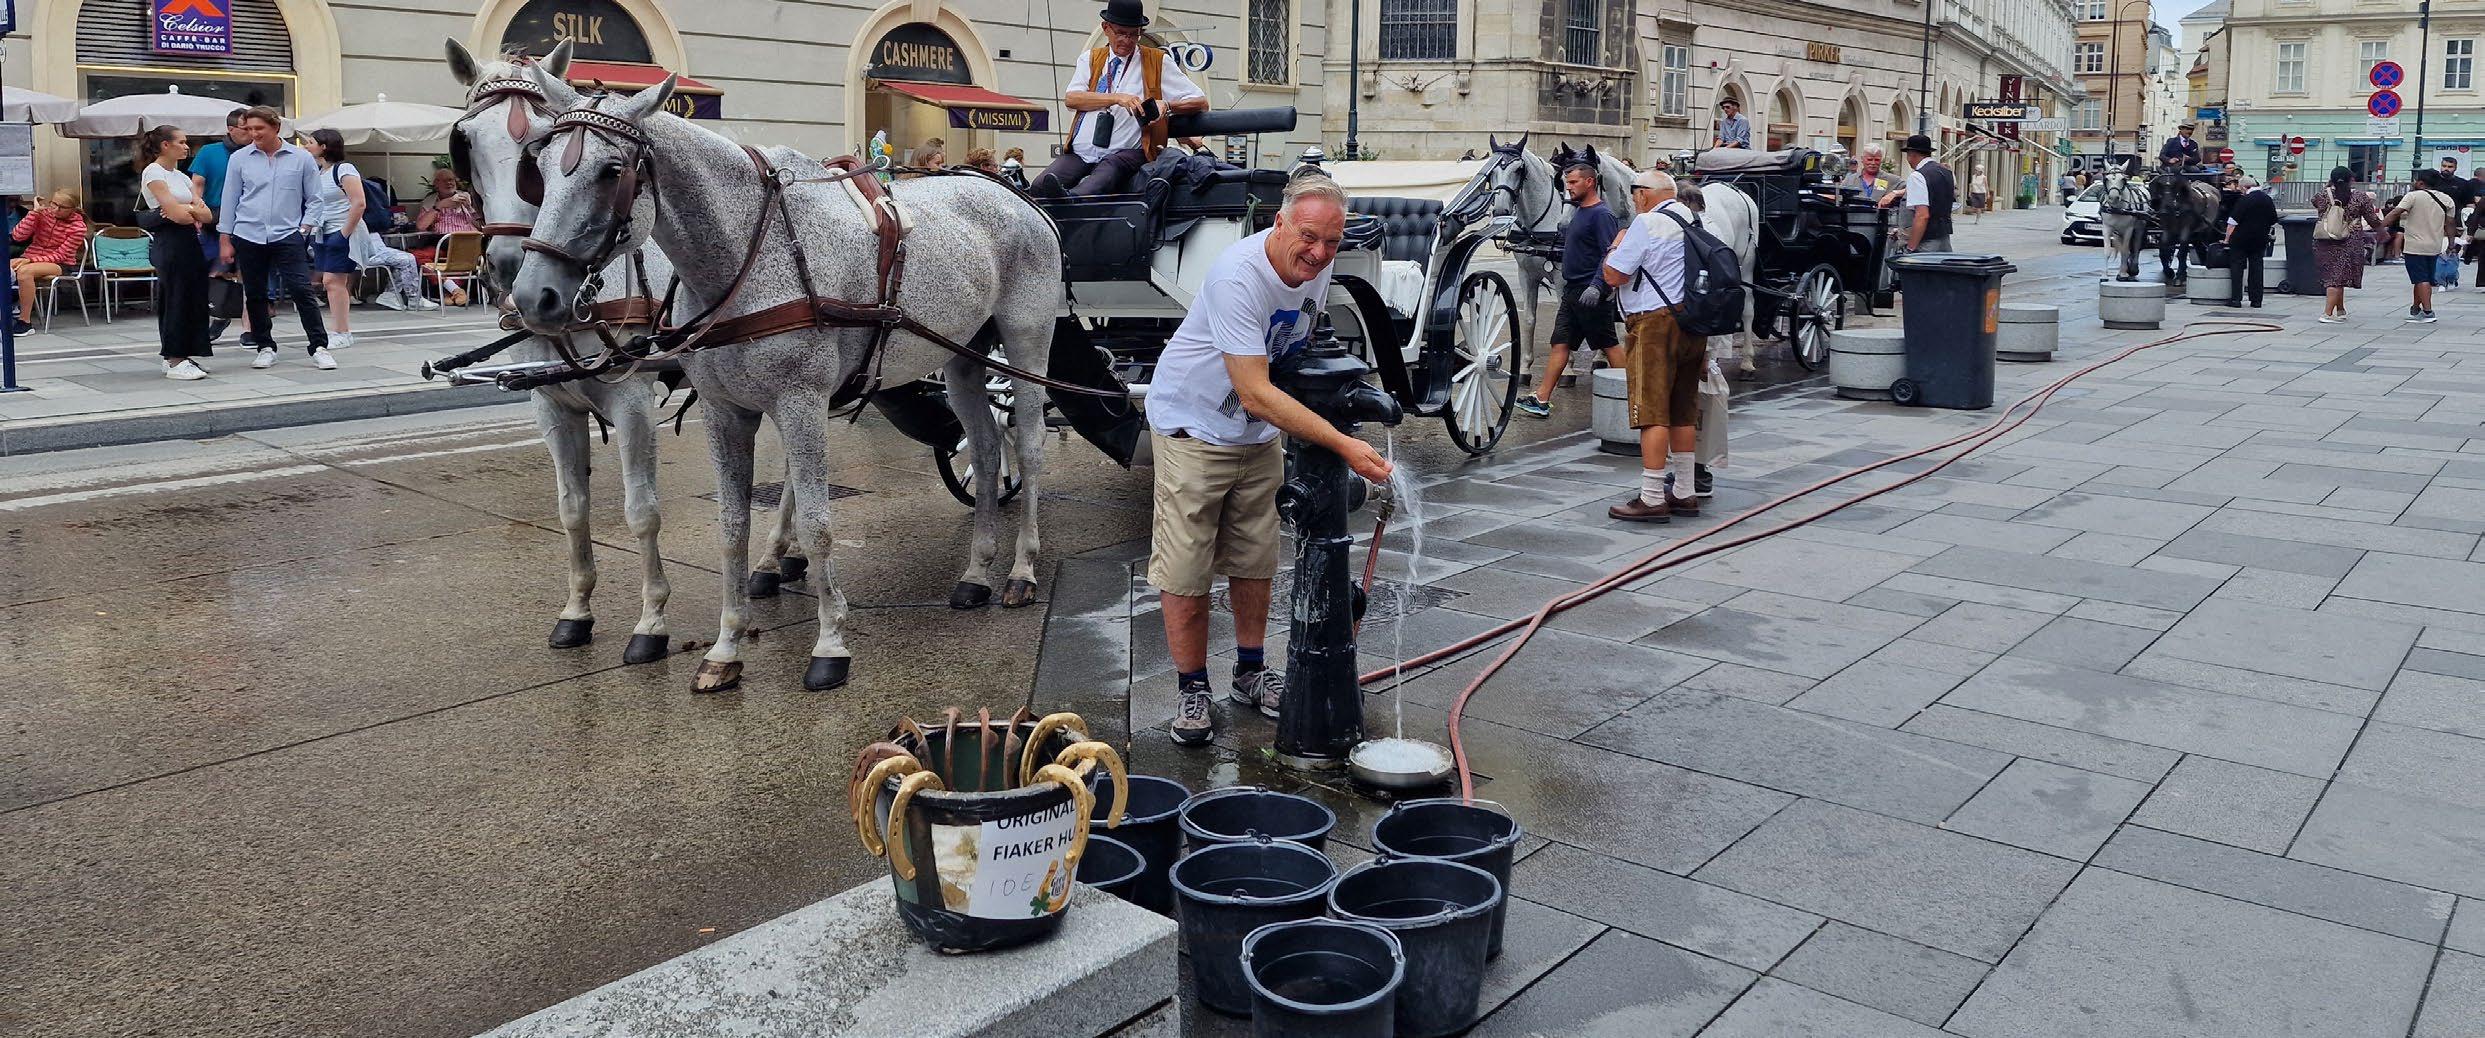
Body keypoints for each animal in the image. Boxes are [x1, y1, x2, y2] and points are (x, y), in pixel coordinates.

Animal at [508, 71, 1060, 694]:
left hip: (1027, 343)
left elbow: (818, 525)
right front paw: (726, 646)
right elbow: (732, 525)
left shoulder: (800, 402)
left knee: (1029, 446)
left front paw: (830, 642)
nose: (532, 296)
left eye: (610, 171)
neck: (746, 257)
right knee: (987, 450)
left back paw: (1021, 569)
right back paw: (976, 571)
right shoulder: (724, 411)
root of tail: (1014, 195)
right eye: (538, 167)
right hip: (963, 357)